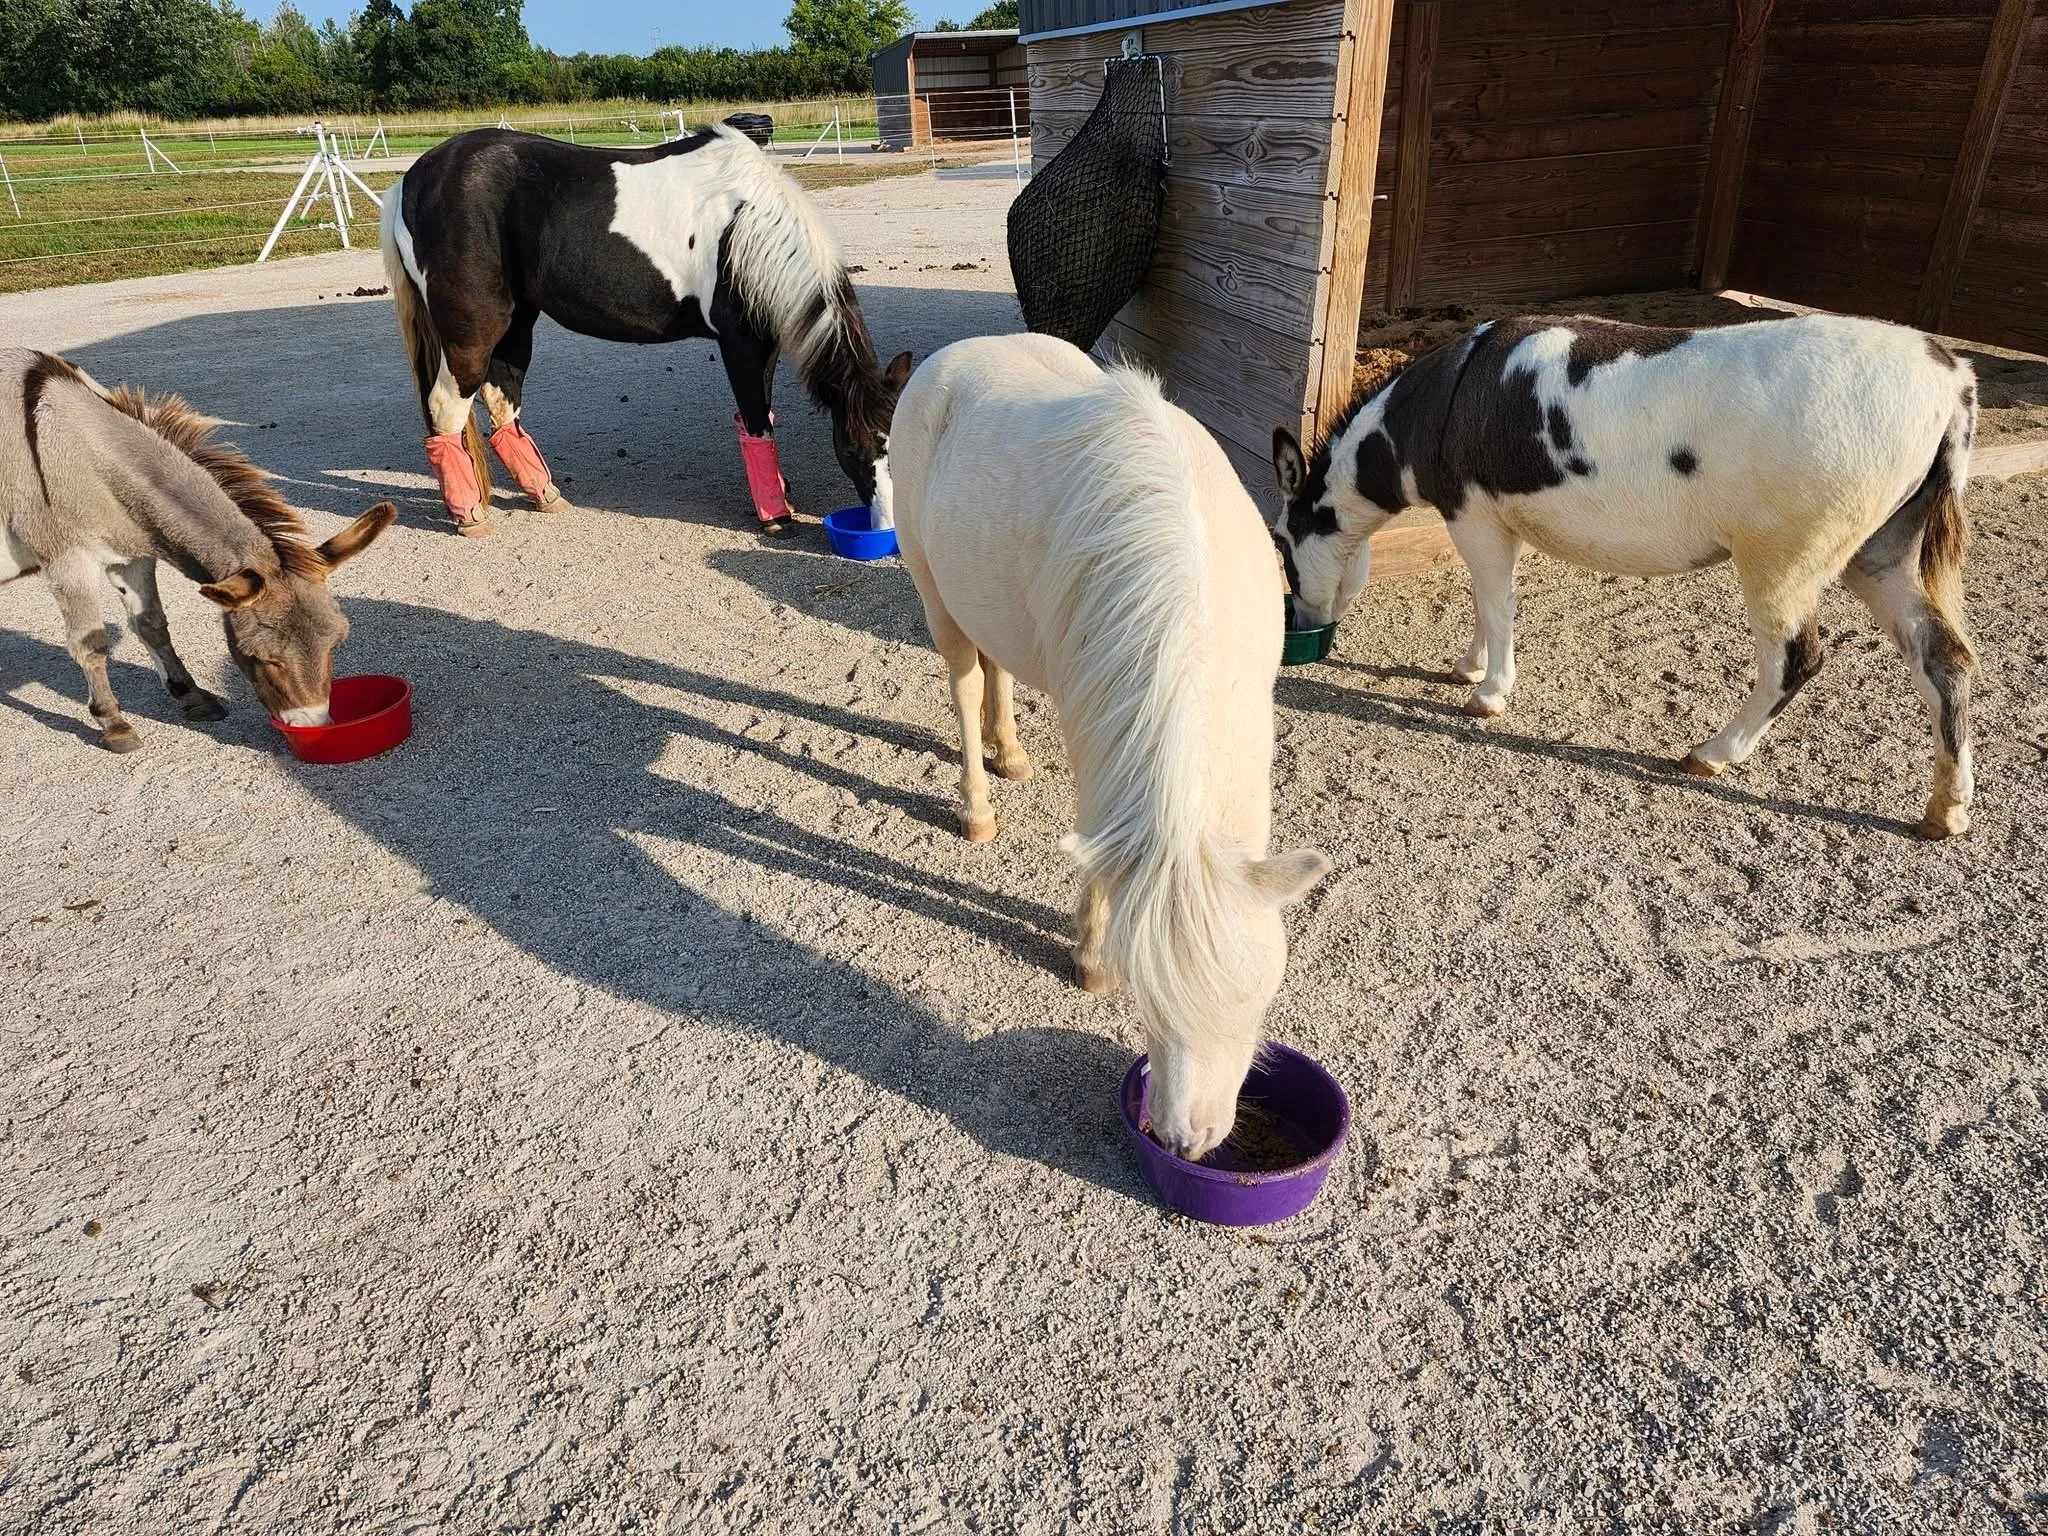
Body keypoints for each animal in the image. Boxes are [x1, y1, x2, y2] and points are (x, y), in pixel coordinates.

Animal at [1, 349, 395, 751]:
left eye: (335, 644)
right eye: (263, 658)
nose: (314, 725)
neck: (76, 449)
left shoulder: (131, 558)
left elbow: (152, 625)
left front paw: (191, 696)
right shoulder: (66, 562)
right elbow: (91, 642)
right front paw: (114, 724)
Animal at [379, 123, 912, 536]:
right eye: (852, 447)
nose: (890, 527)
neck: (746, 227)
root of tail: (413, 180)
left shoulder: (765, 344)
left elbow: (763, 418)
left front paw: (781, 497)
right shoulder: (741, 345)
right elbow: (757, 424)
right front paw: (775, 515)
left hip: (516, 323)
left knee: (500, 401)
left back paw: (544, 494)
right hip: (473, 331)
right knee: (447, 407)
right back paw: (468, 515)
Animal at [889, 334, 1333, 1161]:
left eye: (1254, 998)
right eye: (1148, 999)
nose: (1188, 1140)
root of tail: (949, 356)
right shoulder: (1096, 720)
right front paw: (1091, 956)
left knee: (997, 665)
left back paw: (1009, 749)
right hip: (935, 593)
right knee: (964, 680)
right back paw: (978, 804)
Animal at [1270, 313, 1979, 839]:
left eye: (1279, 543)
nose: (1296, 625)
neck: (1444, 400)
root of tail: (1949, 376)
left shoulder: (1473, 514)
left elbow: (1495, 601)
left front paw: (1488, 694)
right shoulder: (1493, 520)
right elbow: (1486, 600)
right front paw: (1469, 667)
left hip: (1785, 557)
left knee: (1797, 659)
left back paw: (1712, 754)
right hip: (1879, 551)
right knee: (1943, 656)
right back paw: (1946, 810)